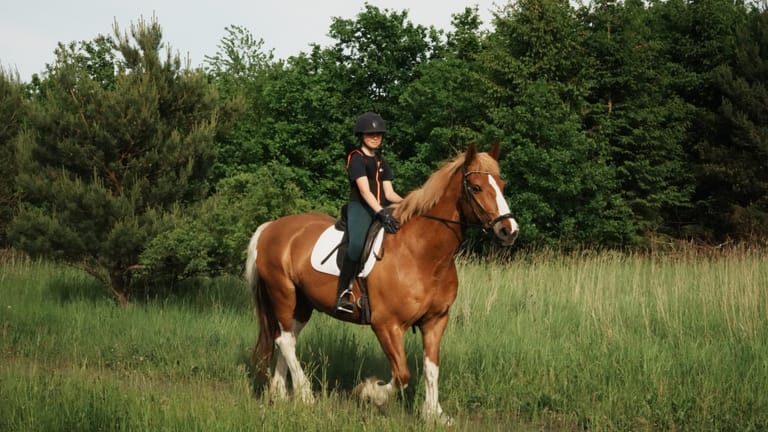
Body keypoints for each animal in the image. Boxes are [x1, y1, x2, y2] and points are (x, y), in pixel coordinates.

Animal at [245, 143, 519, 423]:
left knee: (285, 337)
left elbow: (431, 369)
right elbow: (402, 374)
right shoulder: (387, 325)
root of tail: (269, 227)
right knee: (286, 341)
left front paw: (434, 414)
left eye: (501, 184)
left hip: (301, 304)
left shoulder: (435, 321)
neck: (421, 253)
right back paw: (305, 395)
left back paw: (279, 393)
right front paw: (370, 393)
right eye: (476, 187)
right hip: (283, 294)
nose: (509, 231)